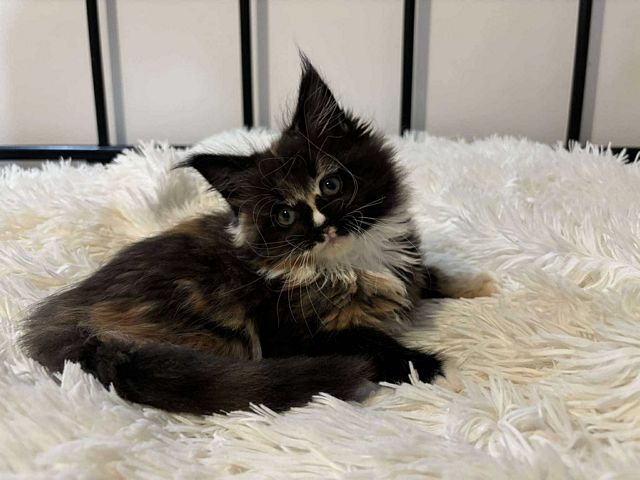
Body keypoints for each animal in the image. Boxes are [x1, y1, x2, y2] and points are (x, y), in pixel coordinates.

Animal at [20, 58, 496, 414]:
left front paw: (477, 282)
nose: (320, 226)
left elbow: (426, 274)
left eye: (330, 185)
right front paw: (442, 370)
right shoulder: (296, 334)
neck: (353, 261)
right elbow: (379, 345)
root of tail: (60, 318)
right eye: (284, 215)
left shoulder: (402, 261)